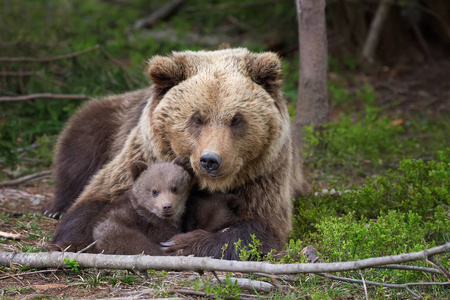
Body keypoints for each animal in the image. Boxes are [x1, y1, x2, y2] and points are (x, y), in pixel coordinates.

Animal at [48, 48, 310, 258]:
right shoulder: (144, 156)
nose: (210, 160)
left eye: (236, 119)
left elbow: (259, 228)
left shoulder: (263, 175)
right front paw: (73, 240)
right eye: (197, 118)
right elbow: (93, 201)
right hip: (109, 121)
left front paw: (182, 243)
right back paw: (55, 208)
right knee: (78, 146)